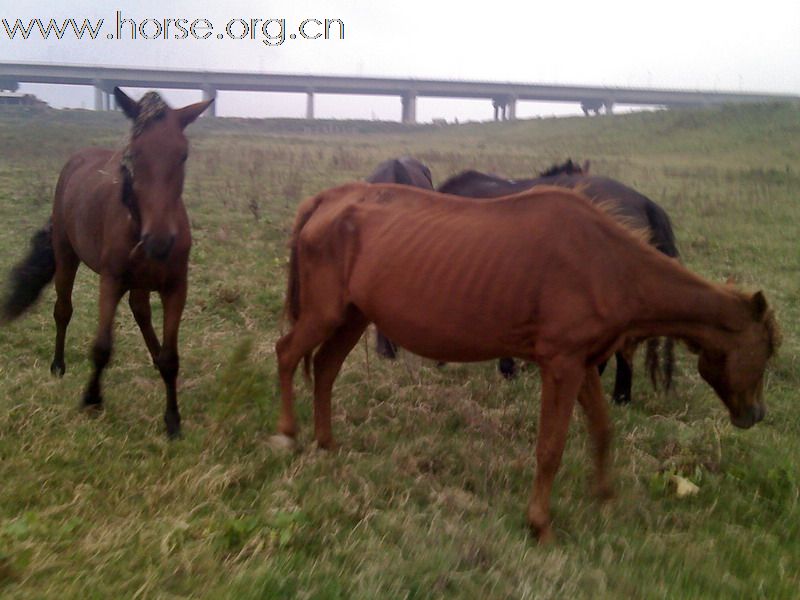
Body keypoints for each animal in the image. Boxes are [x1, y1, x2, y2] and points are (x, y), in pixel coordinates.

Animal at [0, 86, 212, 438]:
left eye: (182, 155)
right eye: (133, 155)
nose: (159, 241)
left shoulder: (175, 287)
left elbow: (171, 358)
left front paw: (173, 420)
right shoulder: (110, 281)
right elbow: (101, 346)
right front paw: (91, 398)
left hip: (140, 281)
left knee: (141, 312)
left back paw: (153, 357)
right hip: (66, 255)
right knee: (63, 310)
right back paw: (58, 366)